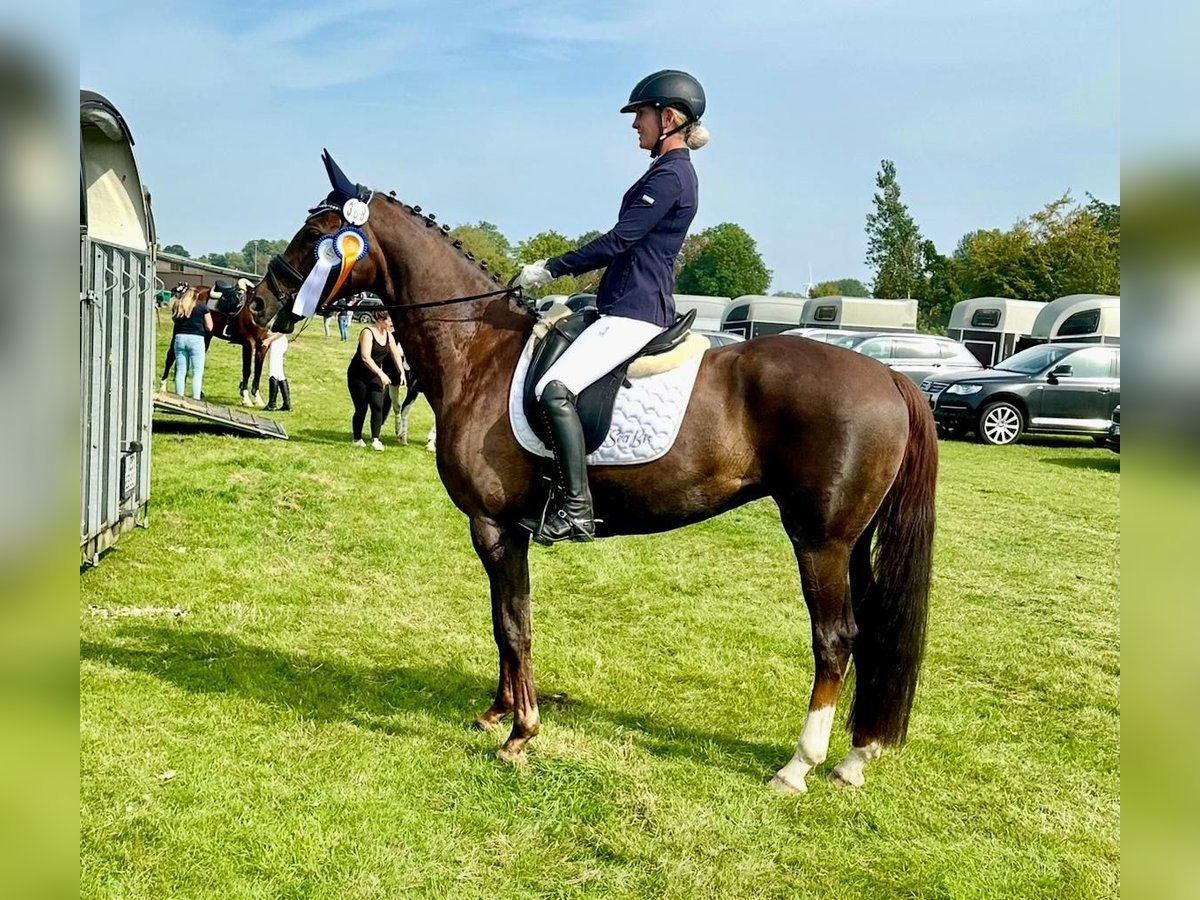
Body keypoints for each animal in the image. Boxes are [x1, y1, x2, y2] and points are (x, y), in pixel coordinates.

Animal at [247, 158, 937, 793]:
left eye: (317, 232)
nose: (258, 304)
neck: (480, 353)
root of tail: (890, 375)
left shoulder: (494, 526)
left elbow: (514, 623)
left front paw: (521, 733)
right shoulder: (504, 530)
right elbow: (503, 620)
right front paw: (497, 712)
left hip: (819, 541)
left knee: (835, 639)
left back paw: (799, 766)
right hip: (851, 542)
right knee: (868, 633)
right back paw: (855, 757)